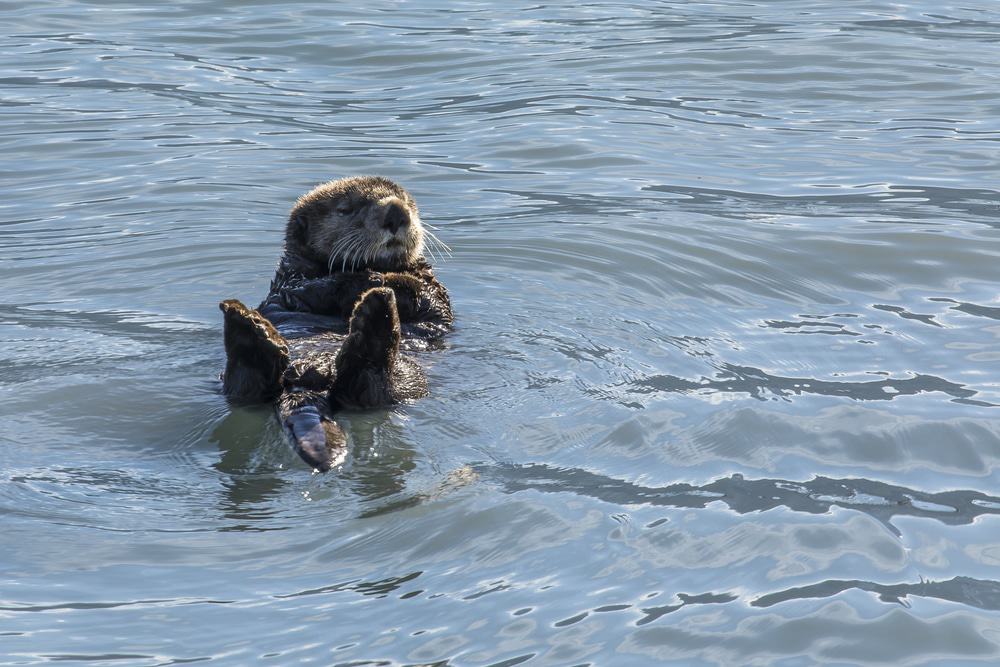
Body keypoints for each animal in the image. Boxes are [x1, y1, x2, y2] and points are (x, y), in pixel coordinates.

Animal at [219, 176, 453, 471]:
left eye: (407, 201)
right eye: (347, 209)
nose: (396, 212)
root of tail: (307, 386)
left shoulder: (435, 291)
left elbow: (425, 295)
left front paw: (383, 280)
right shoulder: (291, 283)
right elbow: (312, 288)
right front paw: (370, 278)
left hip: (406, 380)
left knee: (366, 383)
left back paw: (373, 314)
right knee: (246, 387)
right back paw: (247, 328)